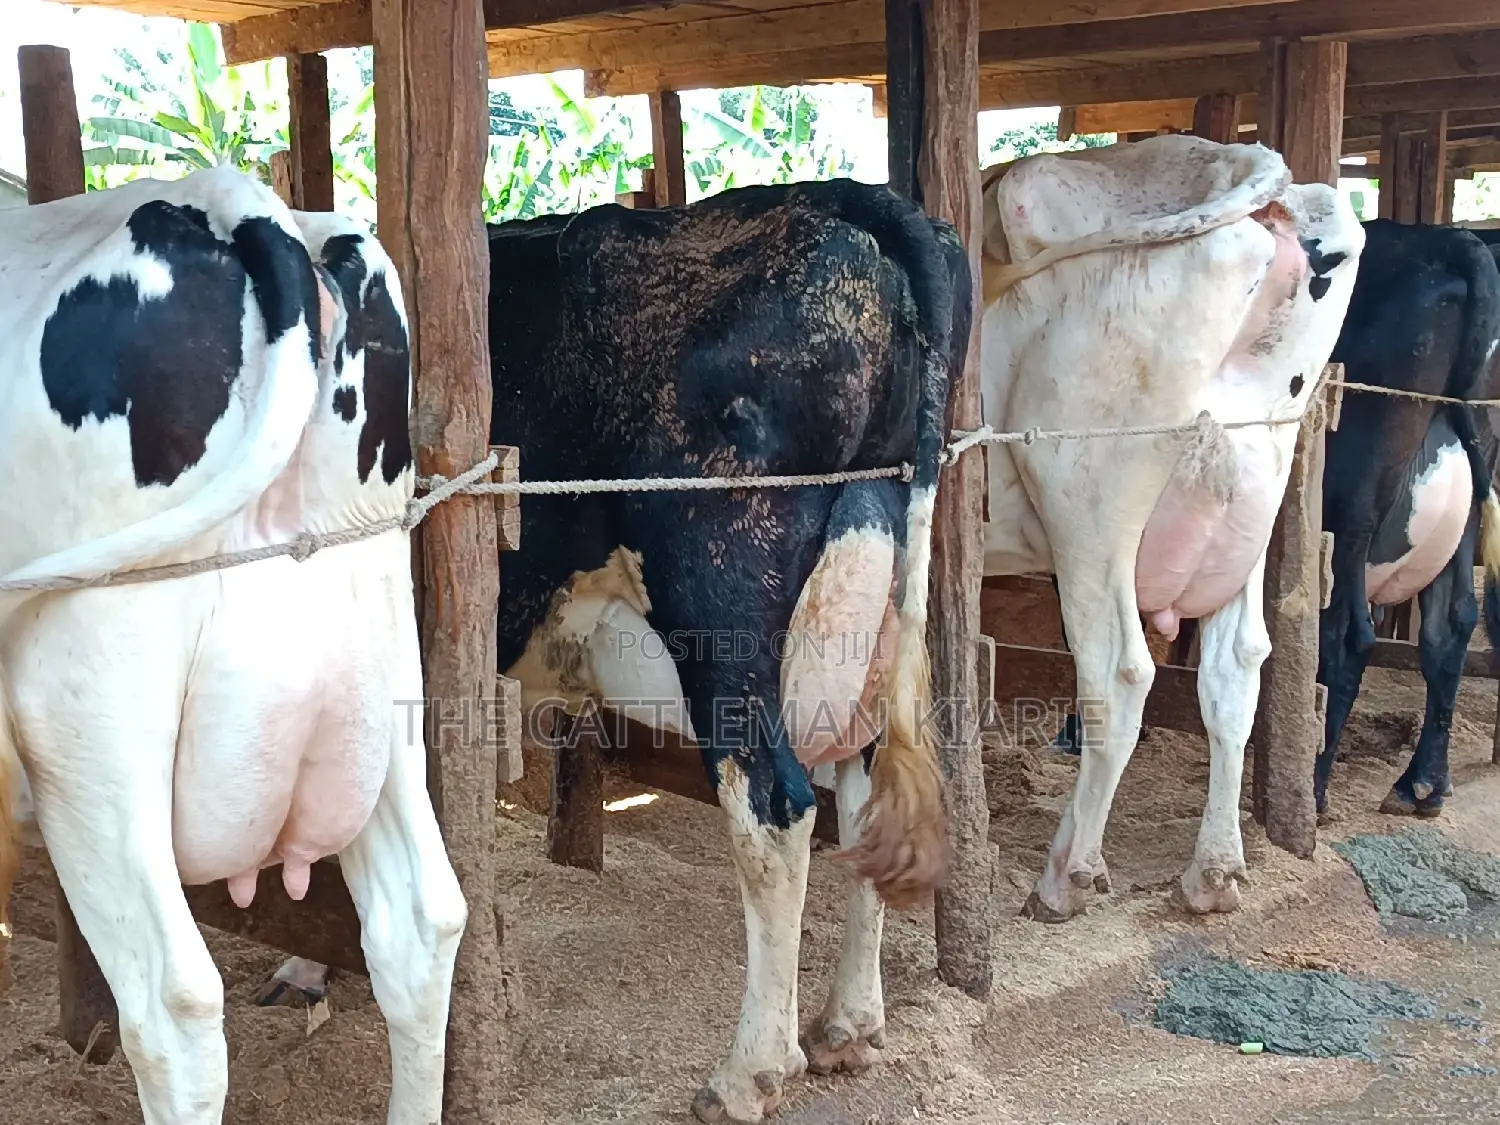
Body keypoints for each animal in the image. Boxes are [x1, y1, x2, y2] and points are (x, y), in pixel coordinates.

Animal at [979, 134, 1364, 922]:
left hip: (1086, 504)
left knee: (1120, 674)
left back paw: (1068, 874)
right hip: (1249, 494)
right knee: (1237, 667)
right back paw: (1213, 870)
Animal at [1315, 219, 1500, 818]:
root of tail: (1448, 239)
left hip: (1348, 504)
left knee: (1346, 635)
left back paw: (1313, 789)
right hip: (1468, 493)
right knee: (1453, 621)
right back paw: (1422, 783)